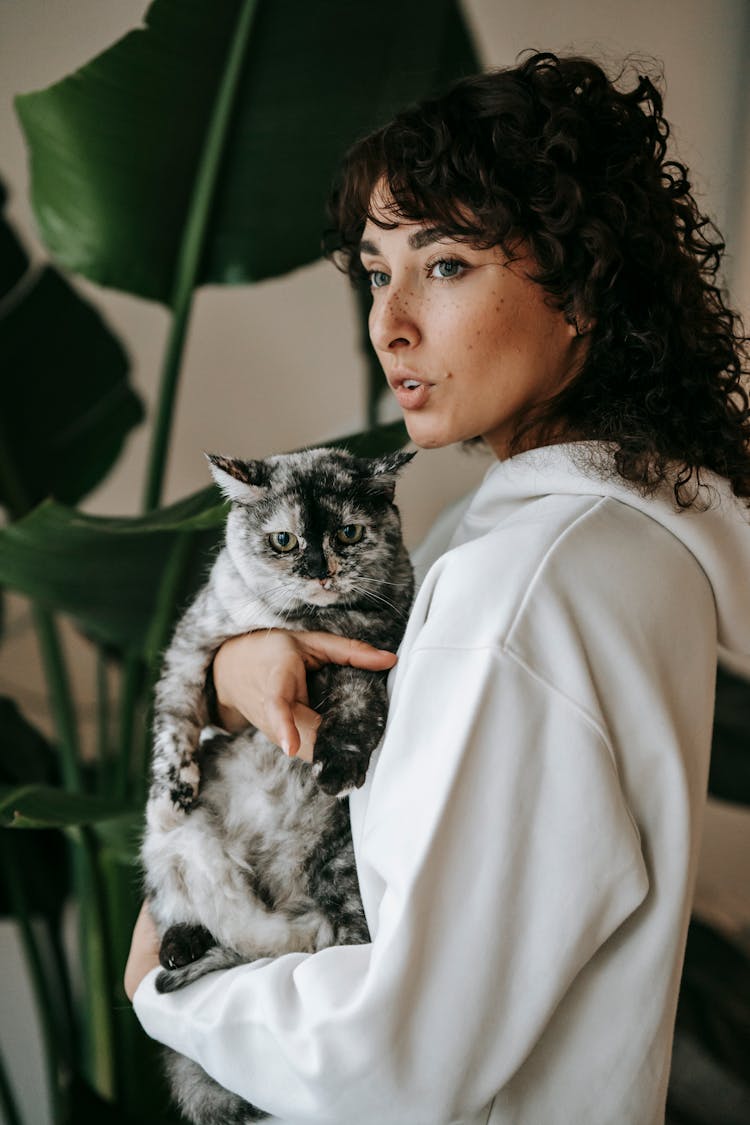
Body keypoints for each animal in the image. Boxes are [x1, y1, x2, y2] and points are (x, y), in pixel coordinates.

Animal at [137, 443, 413, 1125]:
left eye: (348, 533)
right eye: (284, 540)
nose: (319, 570)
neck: (303, 618)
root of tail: (277, 904)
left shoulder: (371, 659)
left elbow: (353, 708)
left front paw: (336, 763)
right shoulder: (194, 648)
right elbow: (175, 718)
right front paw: (173, 784)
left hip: (337, 868)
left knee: (325, 944)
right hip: (171, 851)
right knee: (189, 915)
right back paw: (180, 946)